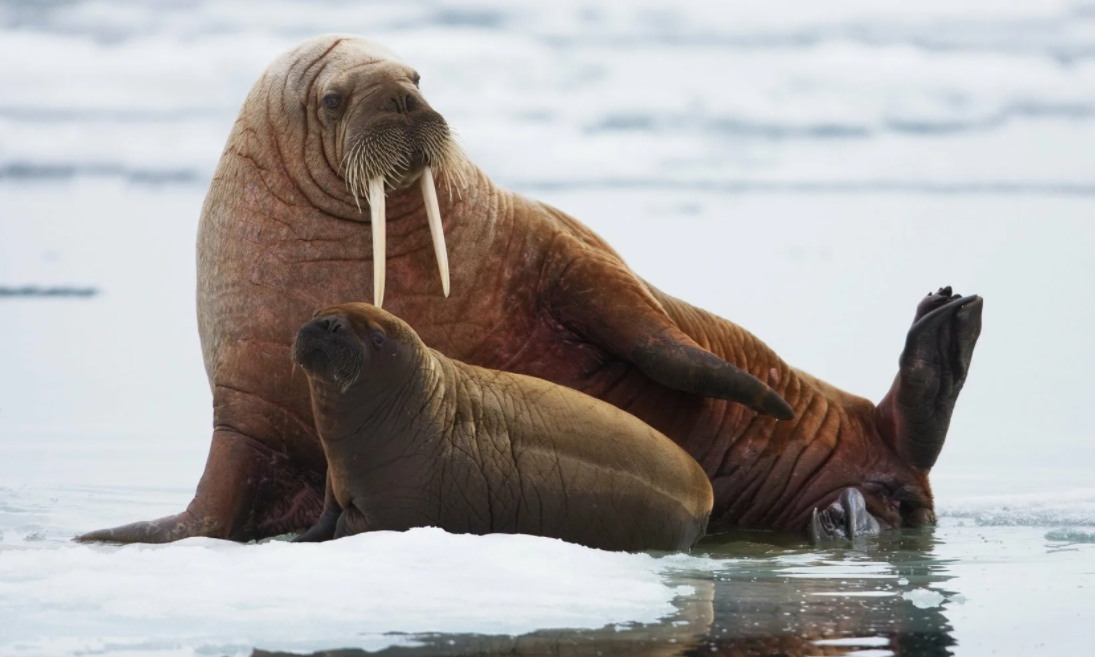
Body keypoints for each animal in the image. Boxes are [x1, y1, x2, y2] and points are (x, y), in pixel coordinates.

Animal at [293, 304, 718, 554]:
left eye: (377, 339)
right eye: (322, 310)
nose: (330, 323)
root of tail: (706, 493)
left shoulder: (394, 508)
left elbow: (348, 526)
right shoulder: (336, 486)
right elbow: (323, 522)